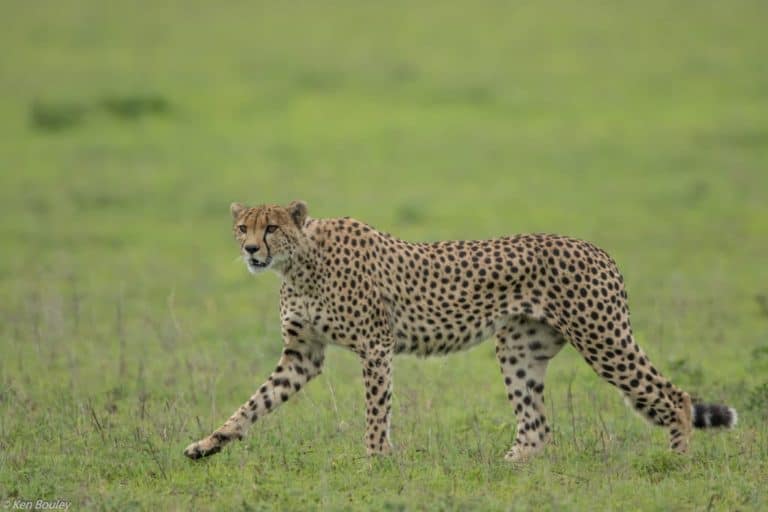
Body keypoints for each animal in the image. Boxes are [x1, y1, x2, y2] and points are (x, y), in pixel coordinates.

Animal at [184, 200, 736, 462]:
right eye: (243, 228)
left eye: (271, 228)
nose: (251, 250)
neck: (300, 264)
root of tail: (597, 249)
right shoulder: (304, 355)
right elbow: (254, 403)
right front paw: (208, 444)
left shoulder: (375, 346)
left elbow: (376, 410)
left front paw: (375, 460)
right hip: (518, 348)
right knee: (537, 428)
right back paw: (507, 465)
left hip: (603, 339)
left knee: (674, 396)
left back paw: (676, 464)